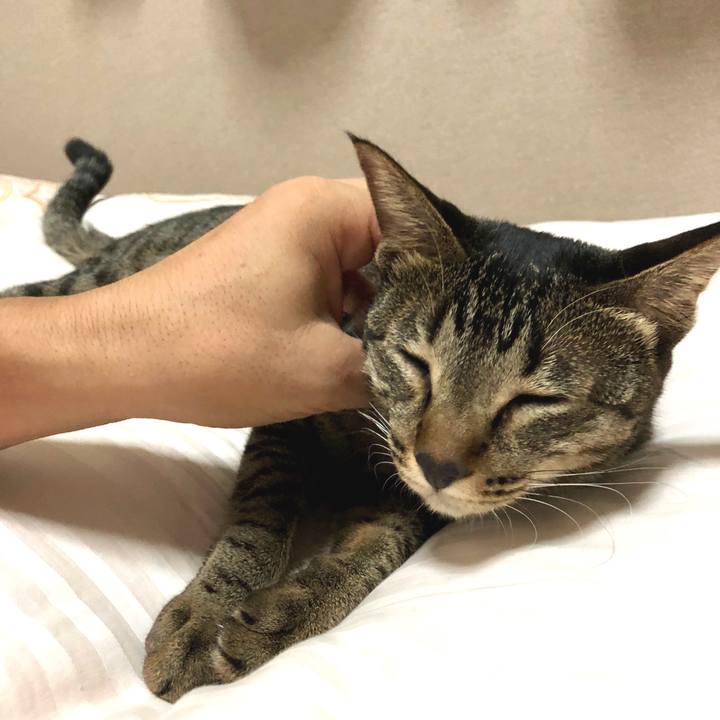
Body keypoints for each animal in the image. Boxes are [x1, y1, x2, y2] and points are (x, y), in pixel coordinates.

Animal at [3, 136, 719, 702]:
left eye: (535, 401)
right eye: (416, 362)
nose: (438, 462)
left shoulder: (414, 495)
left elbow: (375, 548)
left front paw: (286, 612)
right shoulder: (282, 421)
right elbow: (258, 522)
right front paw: (205, 614)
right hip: (92, 284)